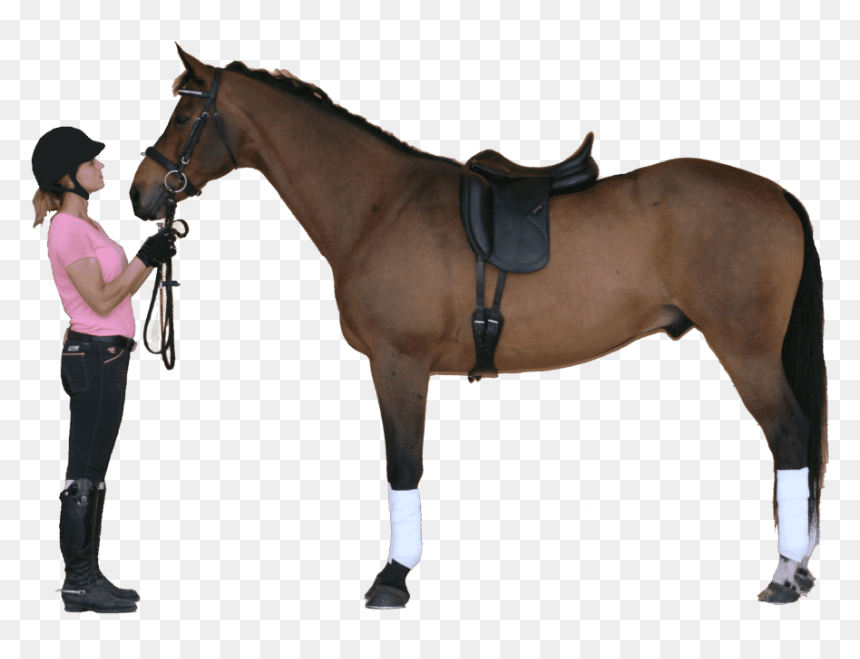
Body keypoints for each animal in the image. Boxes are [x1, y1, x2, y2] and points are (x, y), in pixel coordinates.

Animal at [130, 45, 827, 608]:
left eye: (185, 117)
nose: (142, 194)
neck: (381, 206)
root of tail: (777, 194)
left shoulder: (399, 363)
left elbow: (403, 465)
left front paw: (392, 578)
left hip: (746, 350)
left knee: (790, 438)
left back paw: (784, 575)